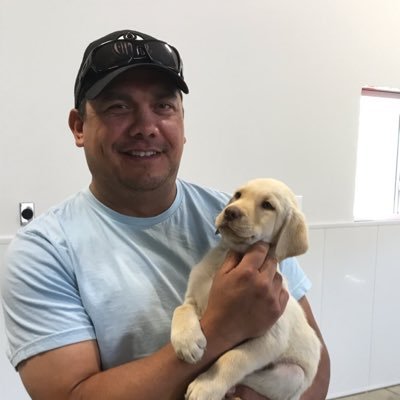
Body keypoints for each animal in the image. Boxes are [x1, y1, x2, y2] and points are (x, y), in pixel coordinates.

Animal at [170, 179, 320, 400]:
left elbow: (234, 358)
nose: (230, 212)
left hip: (292, 376)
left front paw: (207, 385)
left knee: (250, 377)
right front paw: (186, 341)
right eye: (238, 195)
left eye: (267, 205)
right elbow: (180, 309)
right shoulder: (192, 298)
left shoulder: (271, 338)